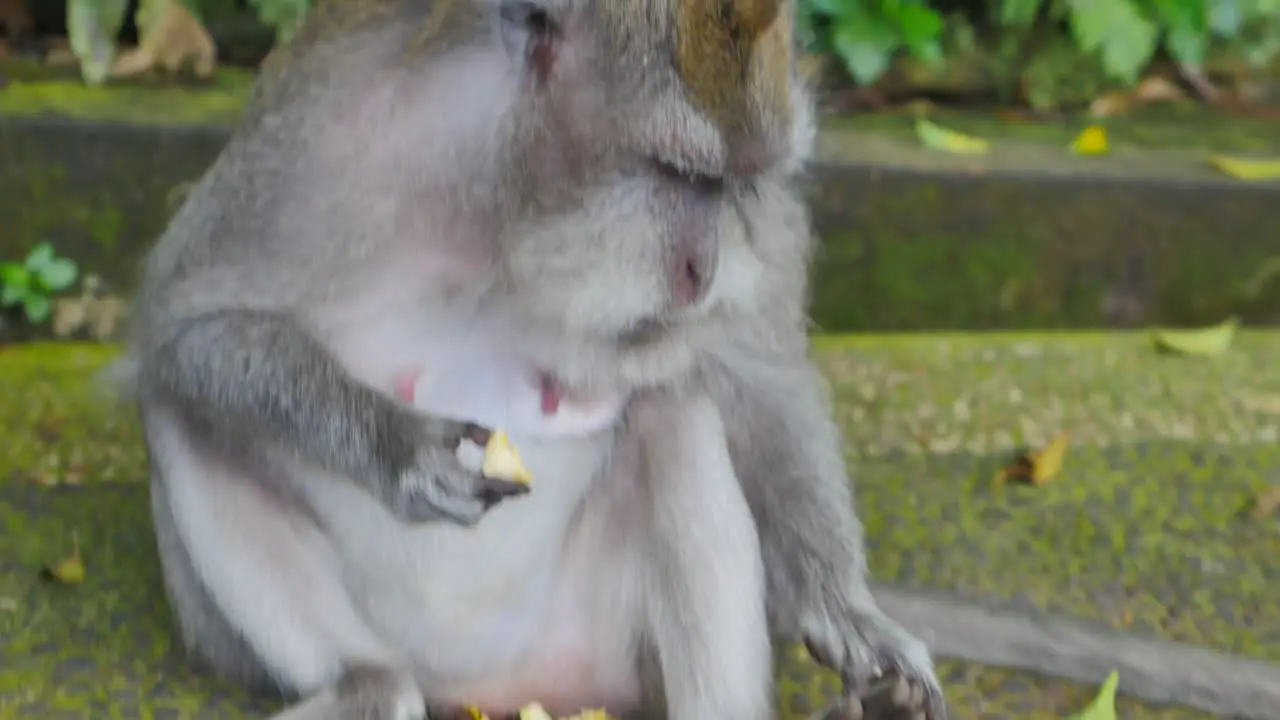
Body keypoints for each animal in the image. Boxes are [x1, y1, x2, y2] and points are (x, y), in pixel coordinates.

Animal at [122, 1, 952, 717]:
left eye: (740, 185)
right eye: (681, 173)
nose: (703, 270)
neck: (508, 196)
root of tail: (484, 687)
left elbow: (759, 377)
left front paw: (845, 608)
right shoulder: (323, 126)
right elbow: (182, 329)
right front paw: (400, 449)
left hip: (599, 656)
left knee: (672, 416)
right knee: (180, 414)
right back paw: (366, 689)